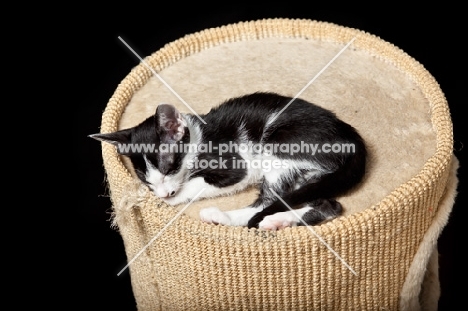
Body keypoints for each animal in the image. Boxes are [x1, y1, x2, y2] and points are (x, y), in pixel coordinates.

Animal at [88, 91, 366, 230]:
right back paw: (276, 220)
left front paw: (172, 197)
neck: (199, 138)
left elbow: (199, 183)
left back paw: (241, 218)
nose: (163, 193)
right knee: (327, 204)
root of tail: (351, 137)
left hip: (281, 145)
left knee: (268, 201)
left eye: (168, 167)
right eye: (145, 178)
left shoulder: (236, 166)